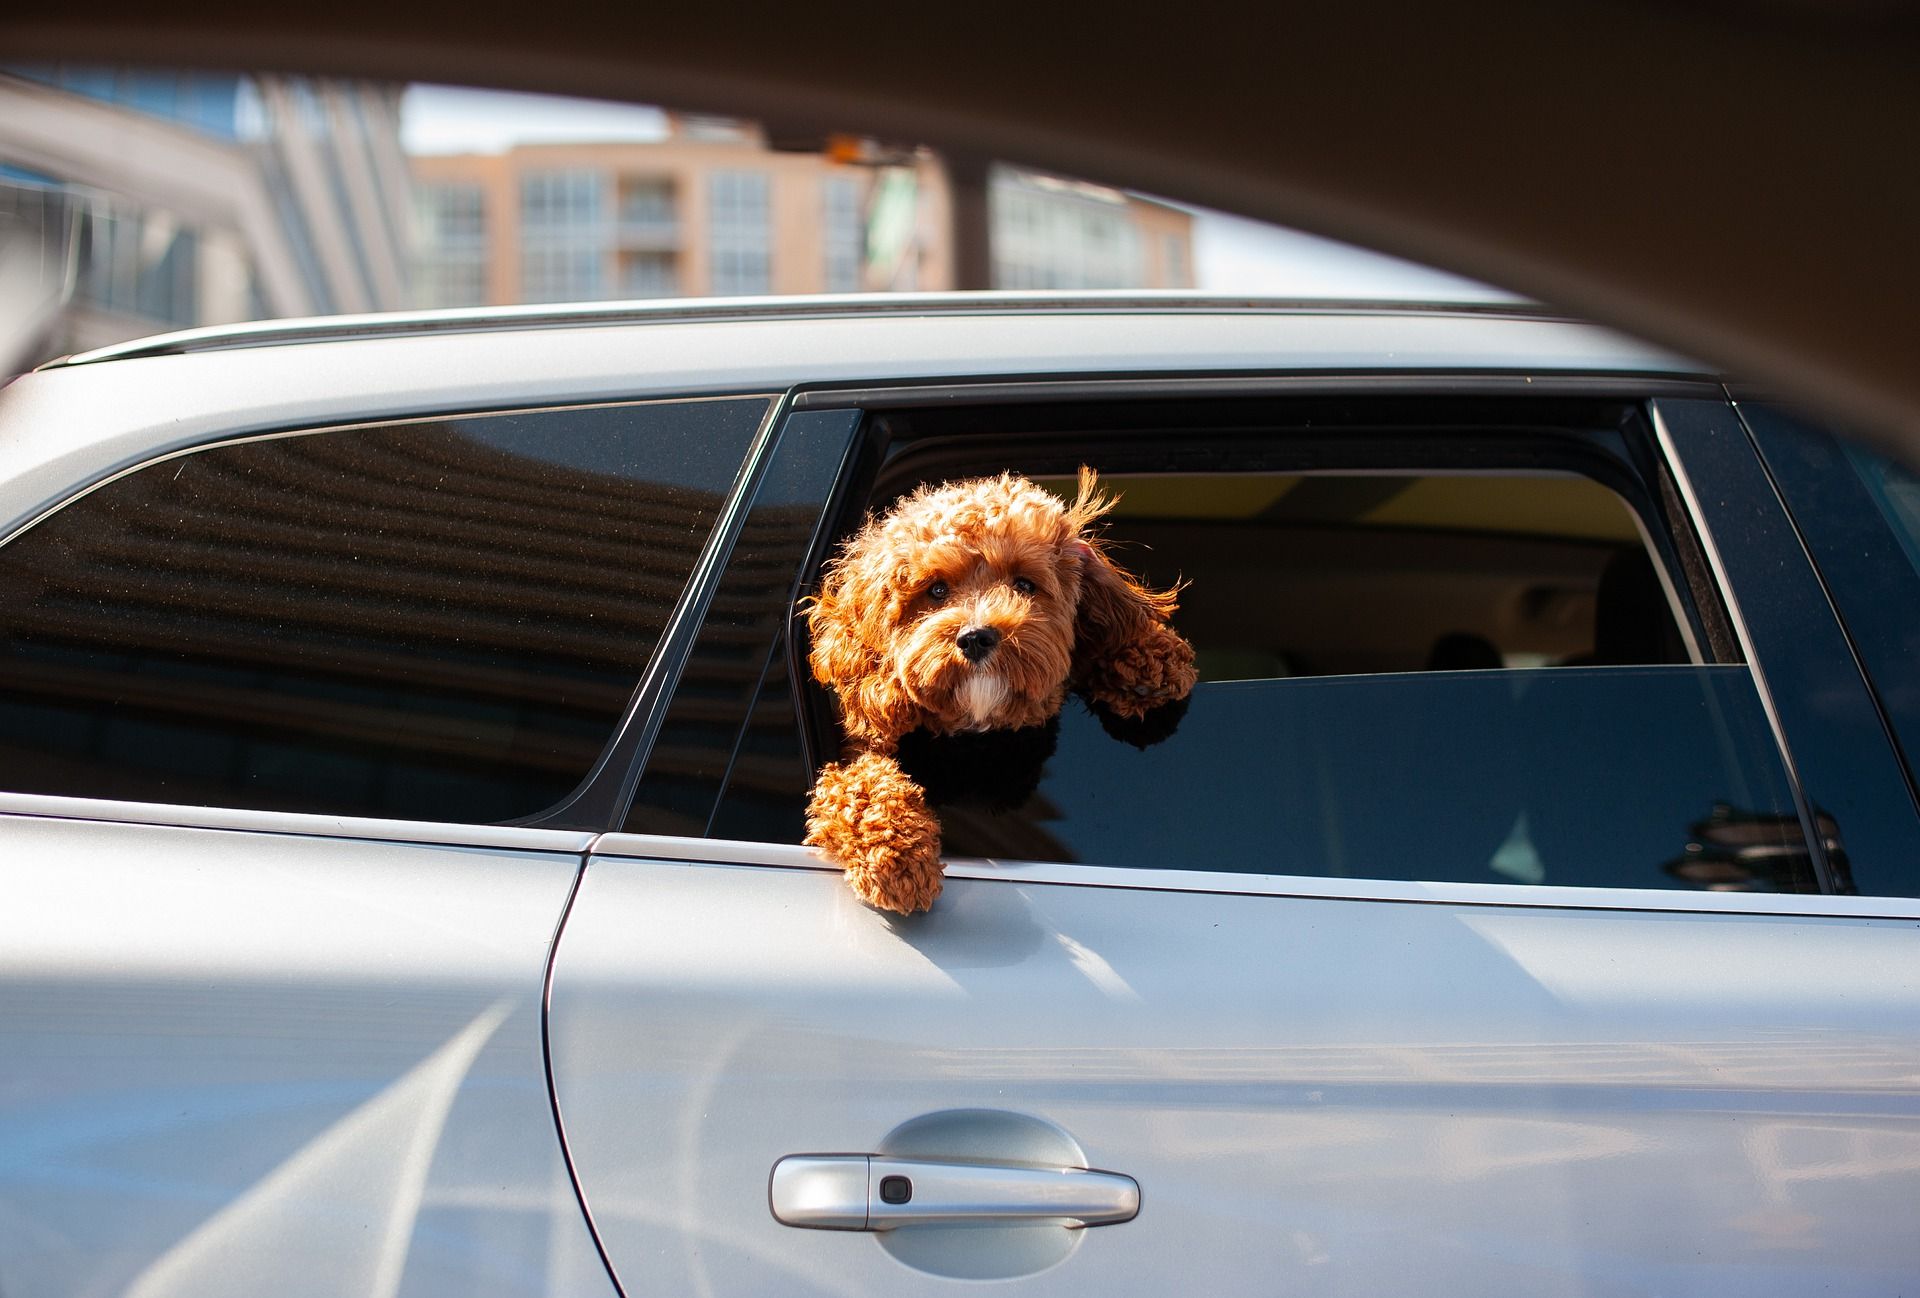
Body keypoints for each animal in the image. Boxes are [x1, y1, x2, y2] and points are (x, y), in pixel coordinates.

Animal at [802, 468, 1190, 913]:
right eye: (936, 590)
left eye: (1024, 584)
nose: (975, 637)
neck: (978, 730)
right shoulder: (855, 757)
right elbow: (858, 786)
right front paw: (897, 858)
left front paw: (1150, 656)